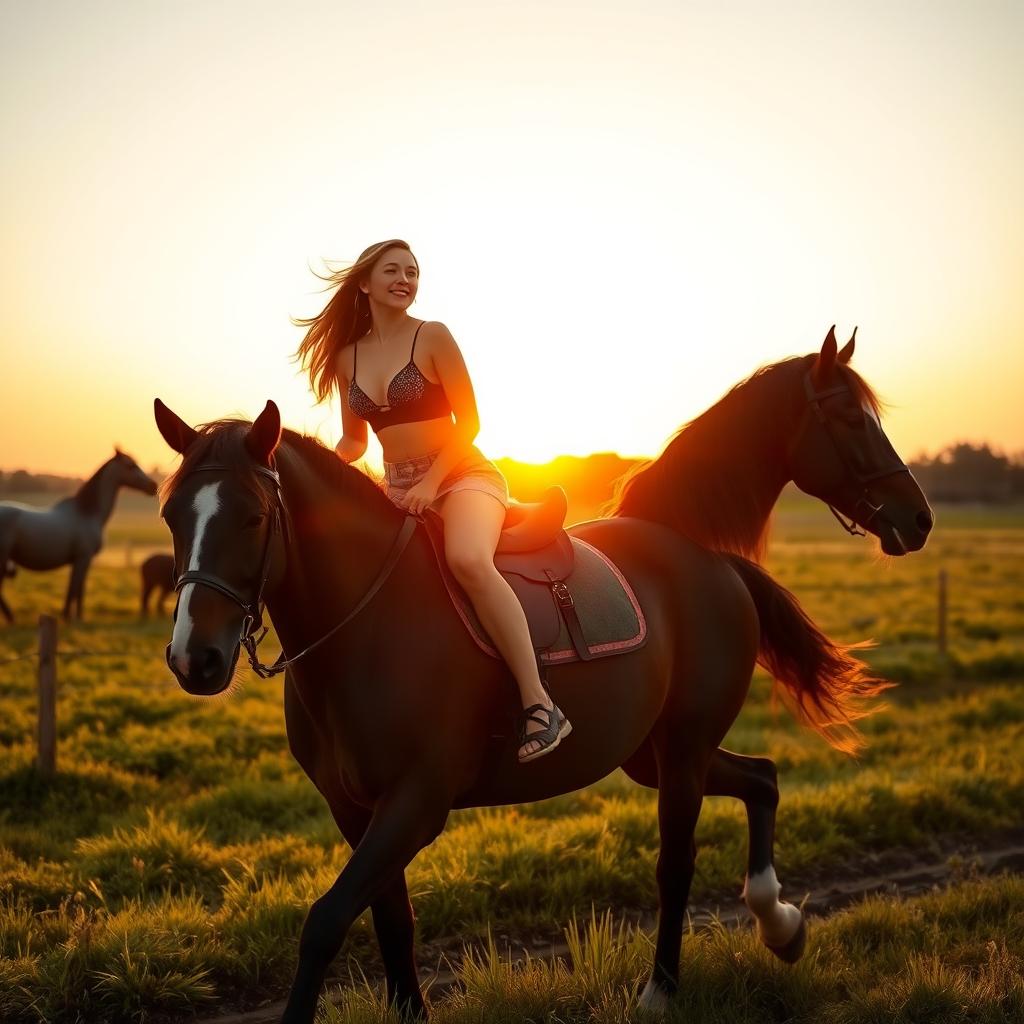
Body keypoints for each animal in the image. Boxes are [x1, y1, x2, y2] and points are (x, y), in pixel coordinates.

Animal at [0, 452, 157, 618]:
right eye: (130, 465)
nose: (152, 486)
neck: (87, 513)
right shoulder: (83, 558)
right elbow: (75, 588)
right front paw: (70, 616)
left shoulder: (81, 560)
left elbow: (78, 588)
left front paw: (75, 615)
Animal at [155, 329, 933, 1024]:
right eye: (170, 516)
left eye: (253, 516)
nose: (195, 659)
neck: (367, 623)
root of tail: (700, 555)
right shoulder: (357, 811)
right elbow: (391, 923)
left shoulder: (416, 804)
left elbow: (323, 923)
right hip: (655, 754)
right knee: (763, 778)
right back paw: (781, 926)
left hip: (682, 750)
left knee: (677, 862)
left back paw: (662, 989)